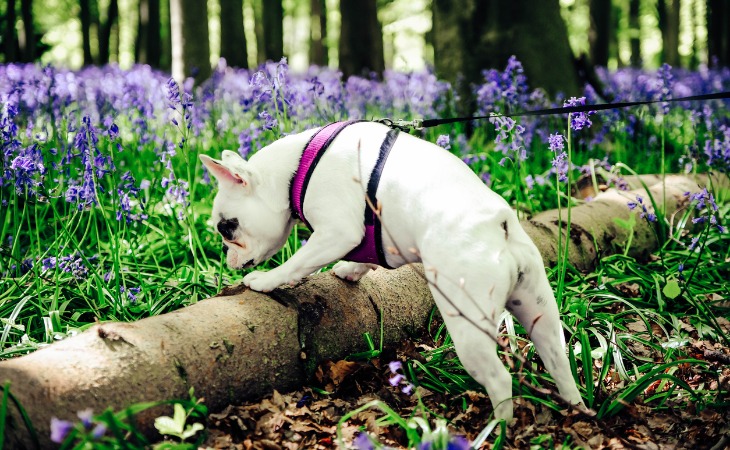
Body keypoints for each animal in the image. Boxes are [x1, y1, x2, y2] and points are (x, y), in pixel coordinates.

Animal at [199, 120, 580, 422]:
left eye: (227, 228)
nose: (228, 258)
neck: (296, 168)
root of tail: (498, 225)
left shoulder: (337, 232)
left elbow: (299, 260)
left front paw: (267, 280)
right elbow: (365, 256)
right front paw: (351, 270)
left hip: (468, 324)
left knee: (500, 380)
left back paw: (496, 430)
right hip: (539, 309)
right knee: (558, 359)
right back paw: (575, 407)